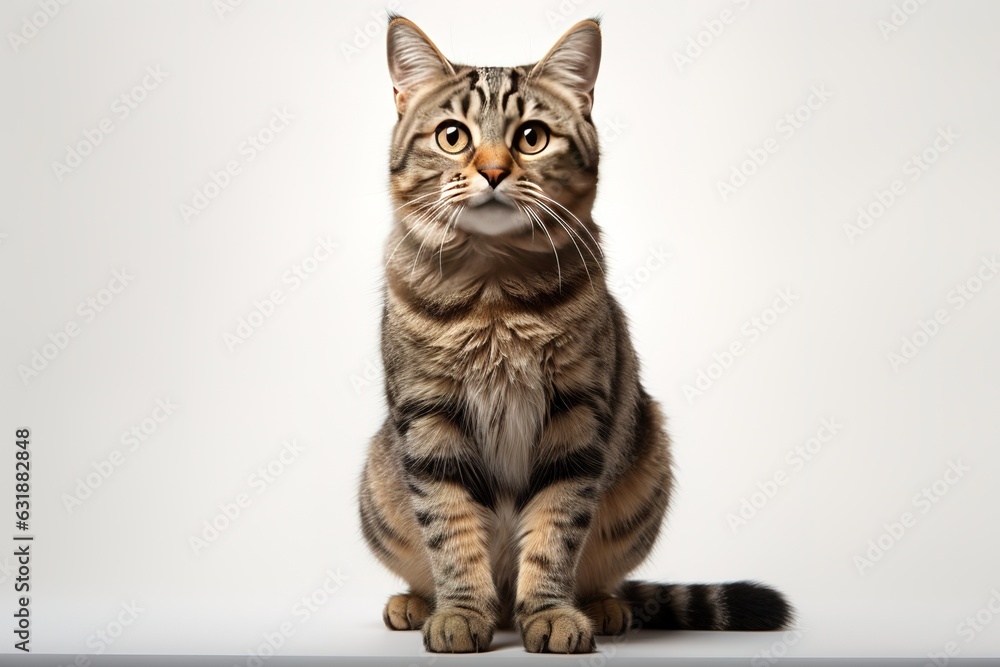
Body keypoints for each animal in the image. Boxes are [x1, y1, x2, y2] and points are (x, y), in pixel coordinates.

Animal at [356, 13, 792, 656]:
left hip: (646, 464)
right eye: (453, 136)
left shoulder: (577, 417)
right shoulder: (429, 417)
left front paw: (551, 612)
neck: (494, 294)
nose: (493, 171)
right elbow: (451, 530)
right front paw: (459, 611)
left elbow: (555, 531)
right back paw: (419, 602)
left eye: (532, 137)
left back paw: (601, 607)